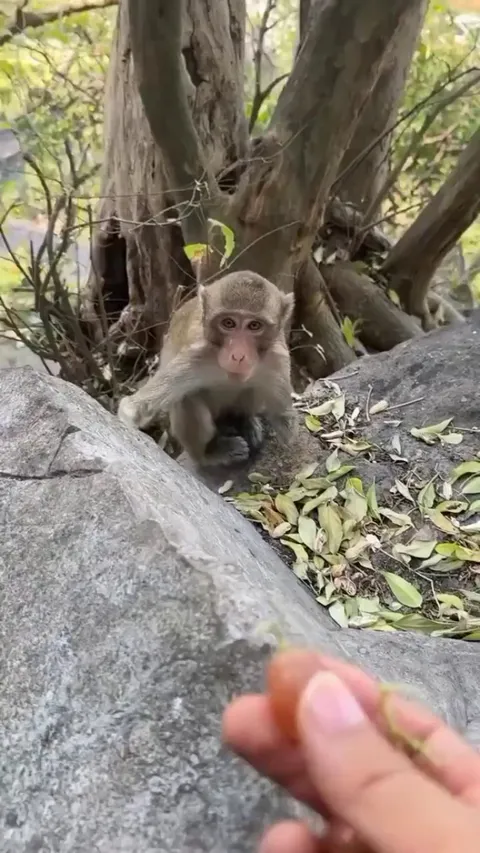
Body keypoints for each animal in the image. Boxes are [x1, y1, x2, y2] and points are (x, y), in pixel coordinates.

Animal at [117, 270, 296, 467]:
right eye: (228, 323)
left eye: (254, 325)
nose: (238, 355)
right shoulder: (196, 355)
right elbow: (137, 407)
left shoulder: (277, 358)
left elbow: (284, 419)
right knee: (187, 398)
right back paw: (210, 453)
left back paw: (244, 420)